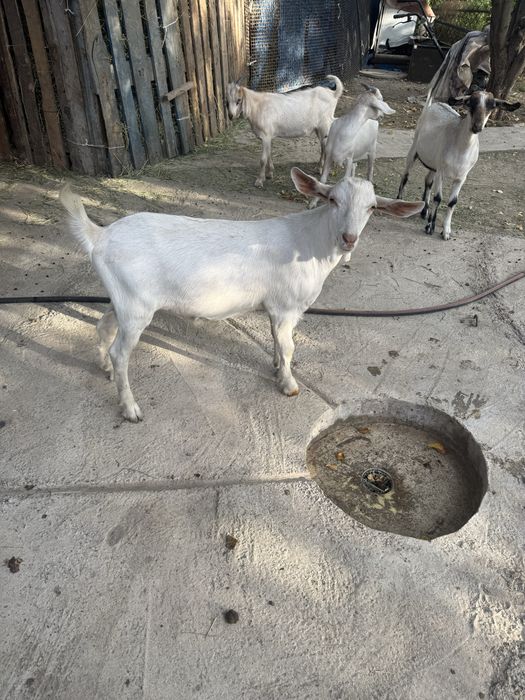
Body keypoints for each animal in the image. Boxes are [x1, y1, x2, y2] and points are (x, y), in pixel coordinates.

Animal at [59, 173, 423, 422]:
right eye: (332, 199)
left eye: (372, 207)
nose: (349, 238)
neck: (311, 243)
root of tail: (99, 235)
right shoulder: (286, 307)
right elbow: (289, 345)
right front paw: (288, 384)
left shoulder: (277, 310)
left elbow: (277, 341)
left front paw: (276, 367)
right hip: (137, 307)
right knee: (122, 352)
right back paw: (130, 407)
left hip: (125, 300)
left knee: (104, 326)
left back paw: (105, 367)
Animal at [397, 91, 520, 240]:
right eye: (470, 103)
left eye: (492, 106)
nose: (477, 126)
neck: (460, 149)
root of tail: (435, 104)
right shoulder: (441, 173)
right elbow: (438, 198)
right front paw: (430, 227)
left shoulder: (461, 177)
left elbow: (452, 202)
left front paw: (446, 231)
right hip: (415, 148)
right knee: (406, 175)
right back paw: (399, 201)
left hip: (434, 163)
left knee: (427, 180)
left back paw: (424, 211)